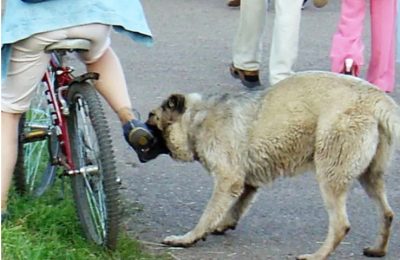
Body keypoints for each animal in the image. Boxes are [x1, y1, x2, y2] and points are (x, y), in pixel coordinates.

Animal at [147, 71, 400, 260]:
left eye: (152, 117)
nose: (141, 128)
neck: (197, 116)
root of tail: (375, 97)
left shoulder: (228, 179)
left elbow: (208, 214)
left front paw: (189, 237)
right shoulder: (246, 182)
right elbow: (235, 206)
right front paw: (222, 224)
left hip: (330, 174)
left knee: (341, 224)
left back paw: (317, 255)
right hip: (370, 176)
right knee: (387, 213)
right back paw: (378, 249)